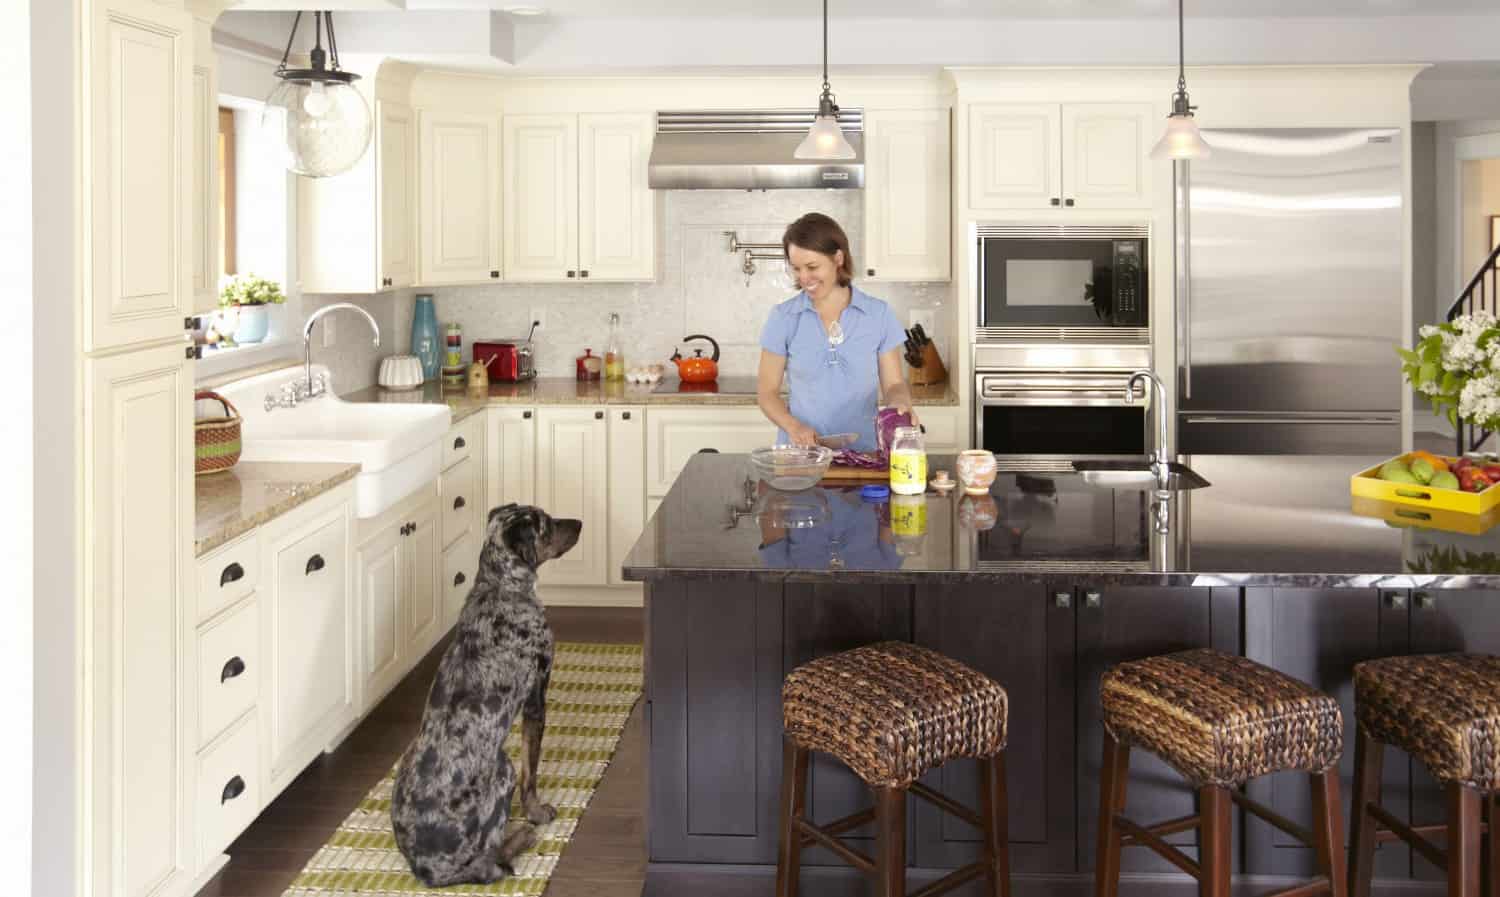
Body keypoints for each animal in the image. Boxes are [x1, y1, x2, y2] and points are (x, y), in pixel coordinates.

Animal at [393, 504, 579, 888]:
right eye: (548, 524)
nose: (582, 523)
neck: (500, 588)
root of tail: (427, 869)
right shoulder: (536, 700)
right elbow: (530, 773)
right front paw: (537, 813)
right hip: (502, 766)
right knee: (489, 863)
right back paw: (523, 835)